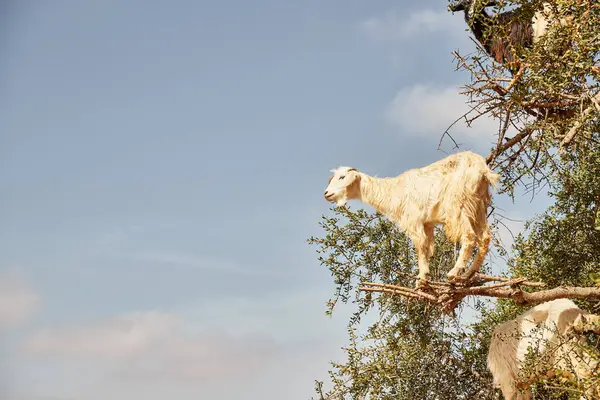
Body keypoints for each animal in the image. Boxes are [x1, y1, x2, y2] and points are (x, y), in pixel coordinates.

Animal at [326, 151, 500, 288]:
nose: (326, 193)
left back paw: (454, 272)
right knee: (485, 238)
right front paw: (426, 276)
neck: (394, 190)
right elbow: (428, 248)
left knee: (469, 236)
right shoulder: (427, 223)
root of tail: (482, 168)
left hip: (459, 205)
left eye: (342, 177)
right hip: (479, 206)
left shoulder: (414, 220)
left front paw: (421, 280)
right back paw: (468, 274)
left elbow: (420, 245)